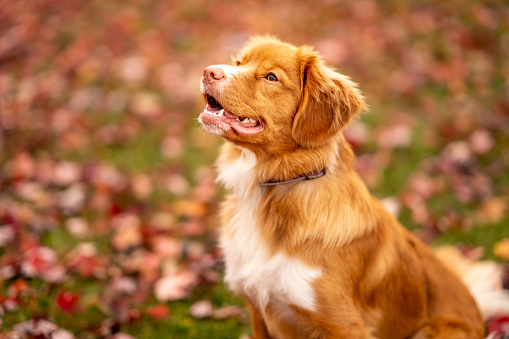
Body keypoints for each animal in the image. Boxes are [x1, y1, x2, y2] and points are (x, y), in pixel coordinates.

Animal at [196, 35, 482, 338]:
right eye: (240, 63)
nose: (209, 72)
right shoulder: (257, 309)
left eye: (271, 77)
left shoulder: (344, 325)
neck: (274, 186)